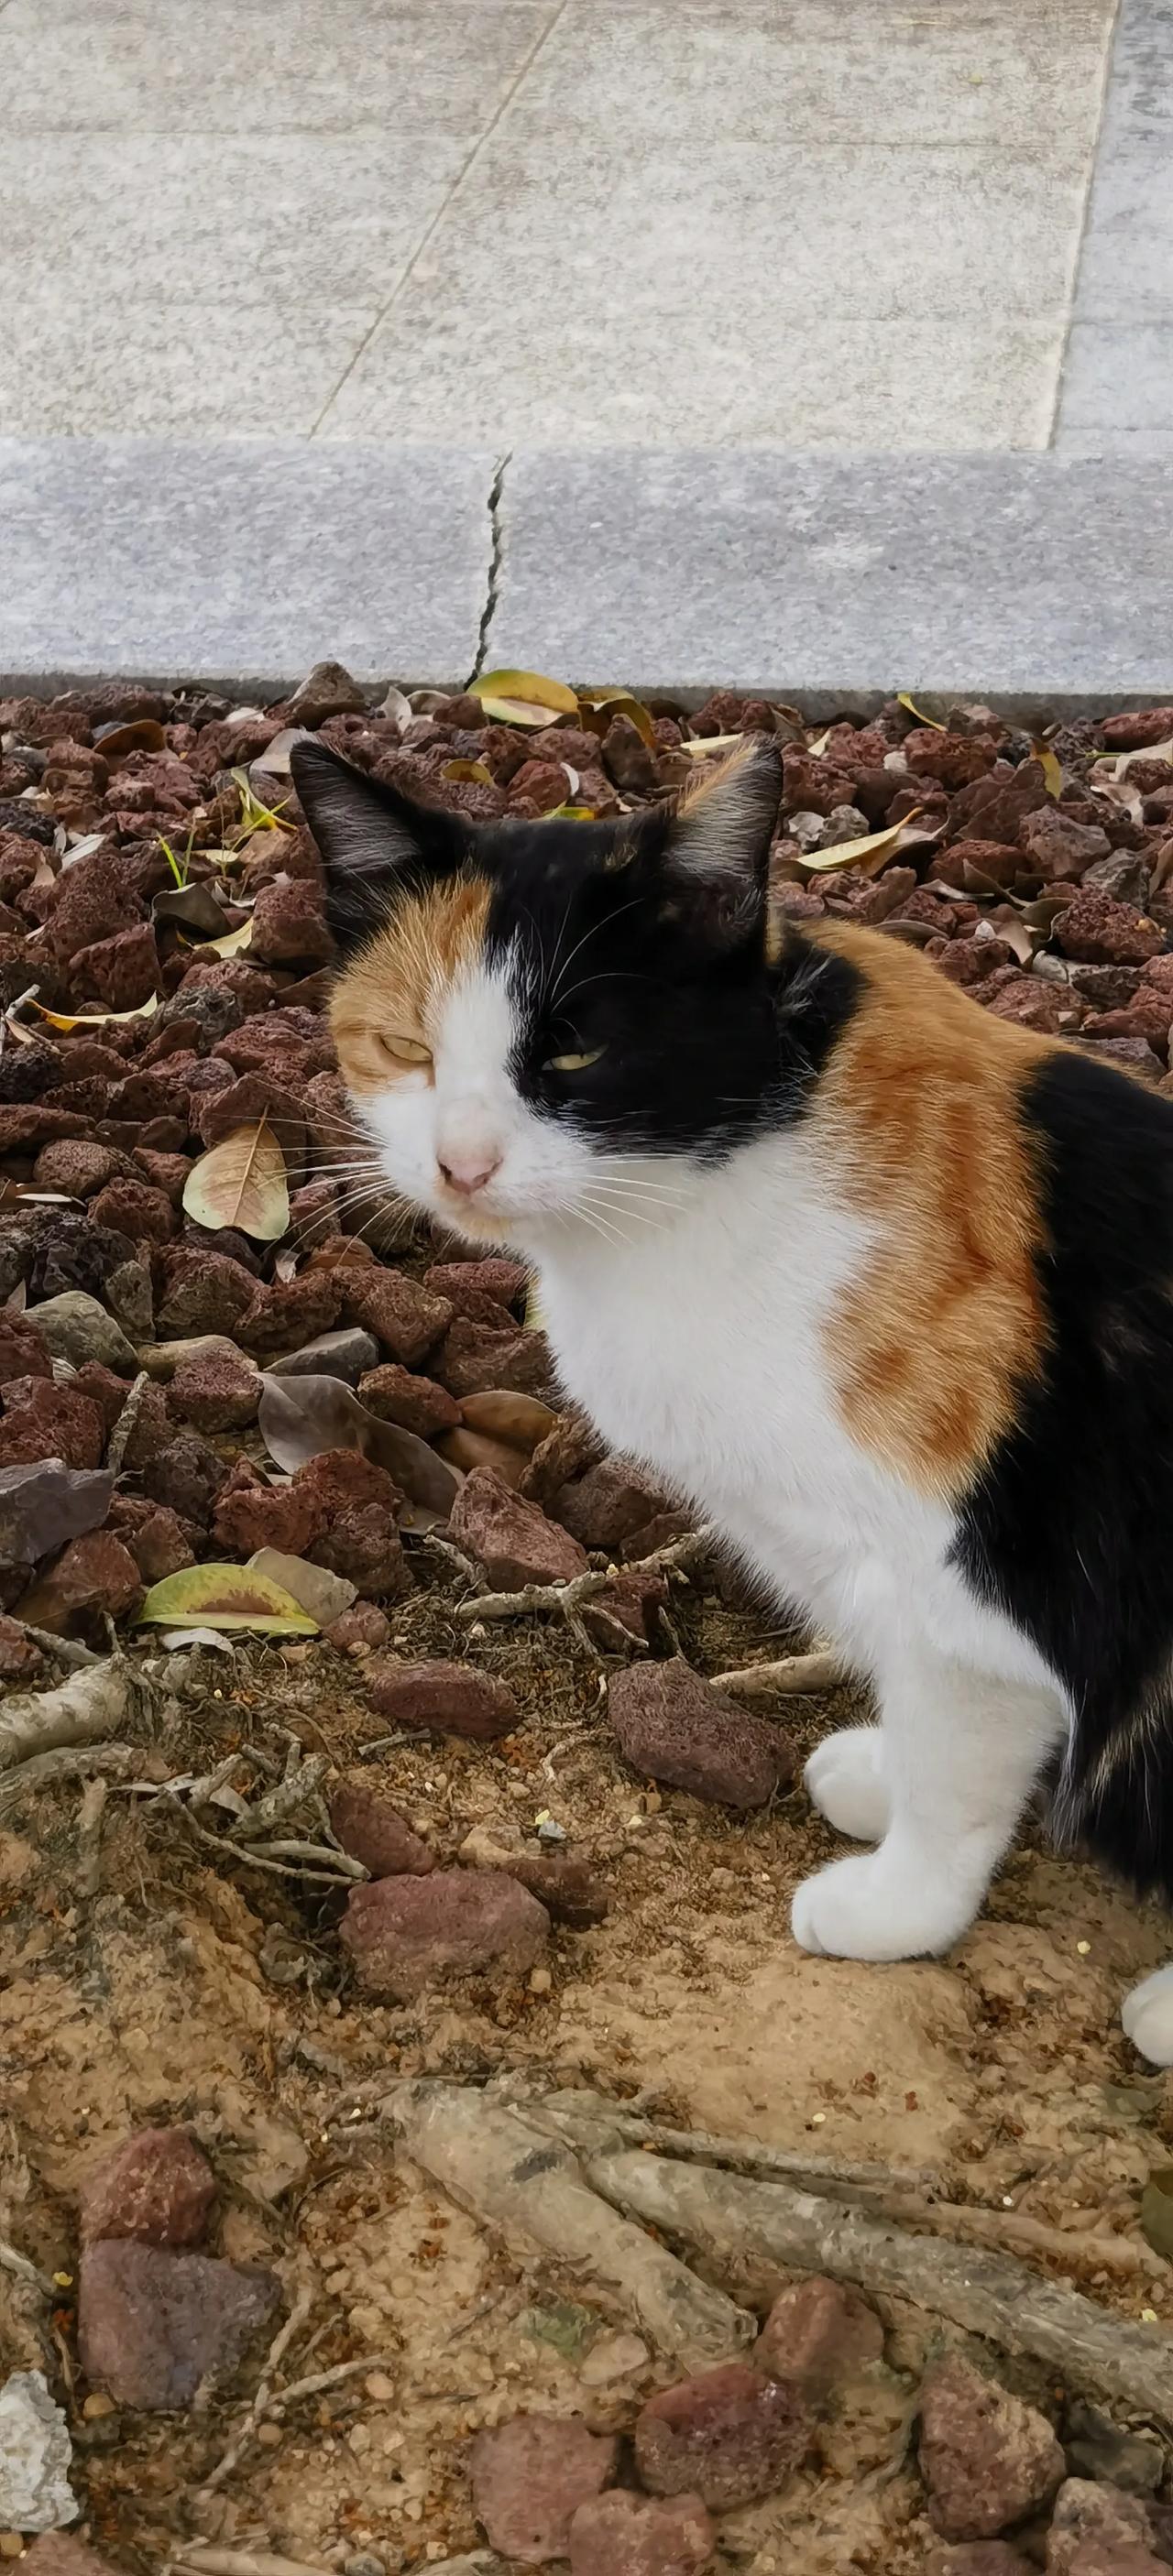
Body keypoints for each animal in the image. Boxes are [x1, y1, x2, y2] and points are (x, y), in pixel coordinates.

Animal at [293, 737, 1173, 2060]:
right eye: (405, 1046)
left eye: (572, 1050)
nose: (461, 1163)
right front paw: (879, 1772)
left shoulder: (963, 1593)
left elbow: (956, 1771)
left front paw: (900, 1903)